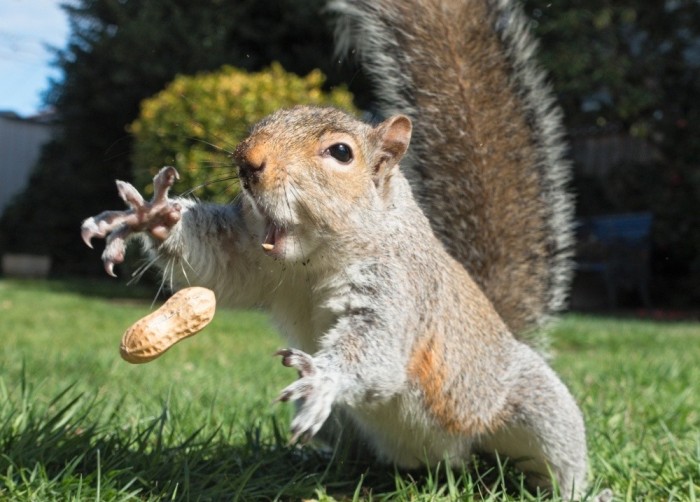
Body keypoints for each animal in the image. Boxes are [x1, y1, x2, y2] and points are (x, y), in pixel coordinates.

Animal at [78, 0, 612, 500]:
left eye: (340, 153)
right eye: (260, 122)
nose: (248, 162)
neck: (312, 261)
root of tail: (440, 464)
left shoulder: (400, 289)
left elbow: (377, 347)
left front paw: (325, 376)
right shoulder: (250, 257)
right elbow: (214, 265)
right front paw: (151, 217)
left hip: (533, 409)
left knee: (557, 460)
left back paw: (584, 491)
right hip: (346, 425)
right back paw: (314, 464)